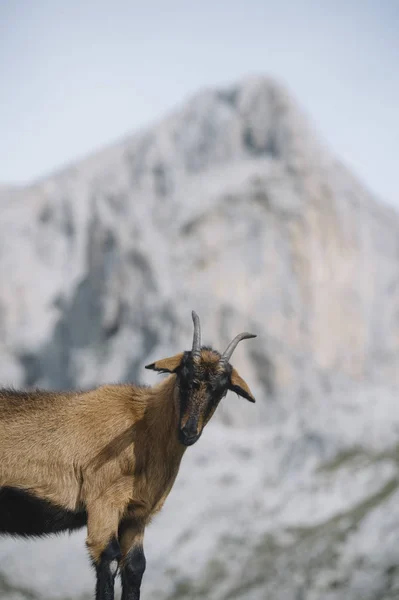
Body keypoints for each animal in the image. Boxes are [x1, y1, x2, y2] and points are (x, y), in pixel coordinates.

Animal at [0, 312, 256, 600]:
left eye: (221, 390)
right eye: (184, 376)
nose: (189, 431)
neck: (142, 424)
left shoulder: (136, 515)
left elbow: (135, 567)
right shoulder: (103, 504)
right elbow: (109, 560)